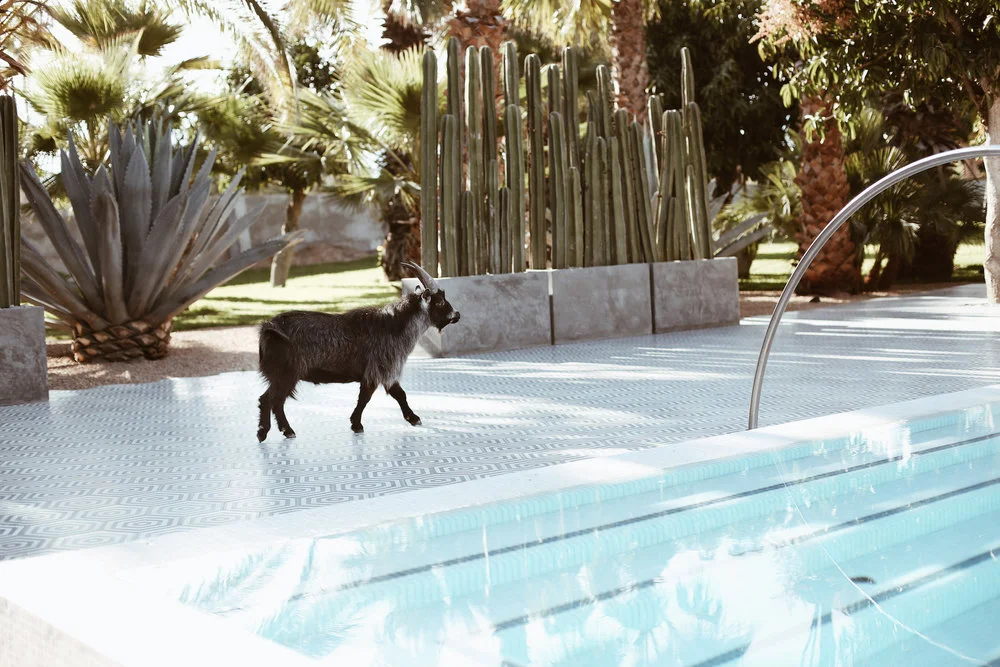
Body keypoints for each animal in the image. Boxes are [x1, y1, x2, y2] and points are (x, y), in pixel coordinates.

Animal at [256, 262, 460, 440]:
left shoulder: (380, 372)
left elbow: (387, 395)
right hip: (286, 373)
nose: (456, 315)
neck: (393, 325)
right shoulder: (380, 369)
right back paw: (270, 432)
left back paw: (282, 430)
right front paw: (359, 424)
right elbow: (372, 397)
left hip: (281, 375)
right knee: (269, 399)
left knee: (275, 401)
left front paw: (410, 419)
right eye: (440, 301)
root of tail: (269, 328)